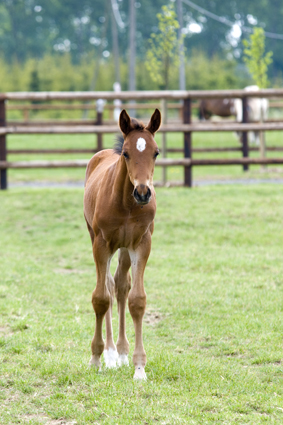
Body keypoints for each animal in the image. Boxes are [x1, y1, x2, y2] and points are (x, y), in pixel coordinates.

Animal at [83, 108, 161, 378]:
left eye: (156, 152)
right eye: (126, 153)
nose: (143, 192)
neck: (127, 204)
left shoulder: (142, 244)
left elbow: (137, 300)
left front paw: (139, 367)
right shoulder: (101, 244)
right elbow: (100, 298)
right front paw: (96, 358)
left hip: (125, 249)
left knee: (120, 284)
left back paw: (122, 352)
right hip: (96, 239)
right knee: (107, 285)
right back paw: (109, 353)